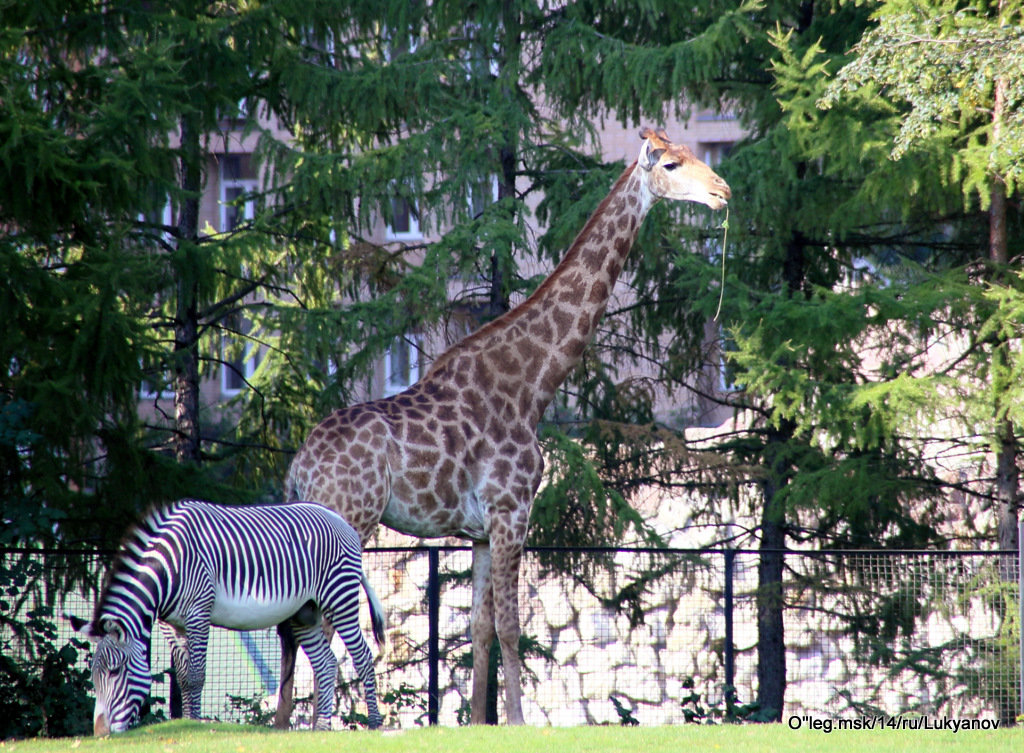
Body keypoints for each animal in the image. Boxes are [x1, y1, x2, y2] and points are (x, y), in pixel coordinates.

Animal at [69, 499, 385, 737]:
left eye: (114, 672)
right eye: (93, 676)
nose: (100, 734)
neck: (168, 569)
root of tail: (340, 519)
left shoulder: (198, 612)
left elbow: (196, 676)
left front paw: (195, 726)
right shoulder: (171, 624)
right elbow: (182, 677)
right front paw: (186, 722)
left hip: (339, 597)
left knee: (363, 656)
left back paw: (374, 724)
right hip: (304, 613)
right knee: (327, 663)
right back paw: (320, 728)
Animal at [280, 128, 729, 725]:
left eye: (694, 154)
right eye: (672, 164)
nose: (723, 191)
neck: (533, 384)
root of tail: (298, 468)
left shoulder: (479, 530)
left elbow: (480, 627)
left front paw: (477, 722)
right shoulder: (512, 510)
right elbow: (514, 627)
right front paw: (516, 721)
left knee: (294, 629)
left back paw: (280, 724)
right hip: (351, 519)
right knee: (320, 628)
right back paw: (318, 726)